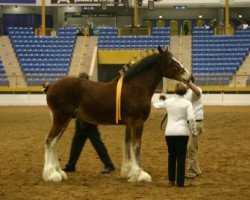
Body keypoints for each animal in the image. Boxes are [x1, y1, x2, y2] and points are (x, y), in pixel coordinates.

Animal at [42, 46, 190, 183]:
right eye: (170, 61)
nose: (189, 77)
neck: (137, 87)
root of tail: (51, 86)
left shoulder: (129, 124)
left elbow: (127, 145)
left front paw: (129, 173)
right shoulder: (137, 122)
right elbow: (136, 146)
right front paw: (140, 175)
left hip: (64, 121)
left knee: (53, 143)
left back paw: (59, 173)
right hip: (60, 120)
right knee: (49, 141)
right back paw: (52, 175)